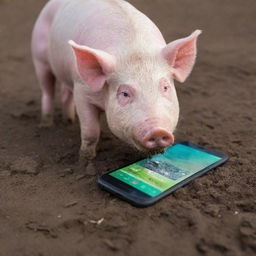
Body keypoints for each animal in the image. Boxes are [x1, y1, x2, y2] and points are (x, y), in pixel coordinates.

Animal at [31, 0, 201, 167]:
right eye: (125, 93)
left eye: (165, 87)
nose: (158, 131)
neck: (134, 49)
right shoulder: (82, 90)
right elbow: (91, 131)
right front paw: (84, 162)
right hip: (39, 56)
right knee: (47, 90)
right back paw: (45, 125)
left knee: (65, 93)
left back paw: (69, 121)